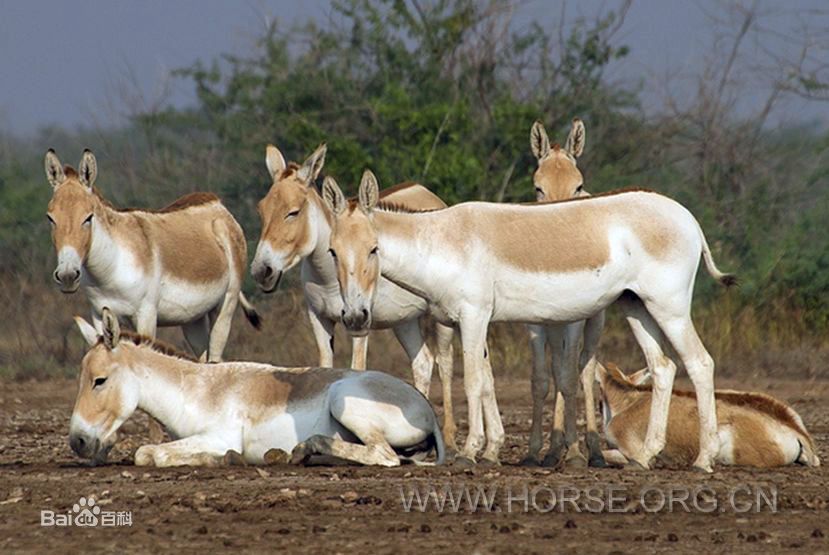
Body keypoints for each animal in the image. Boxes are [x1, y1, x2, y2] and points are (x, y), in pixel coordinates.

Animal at [69, 310, 446, 466]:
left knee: (385, 457)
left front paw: (223, 459)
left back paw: (305, 449)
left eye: (99, 380)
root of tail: (428, 411)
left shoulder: (219, 435)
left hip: (344, 400)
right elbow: (148, 452)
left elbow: (151, 454)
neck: (196, 390)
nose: (77, 442)